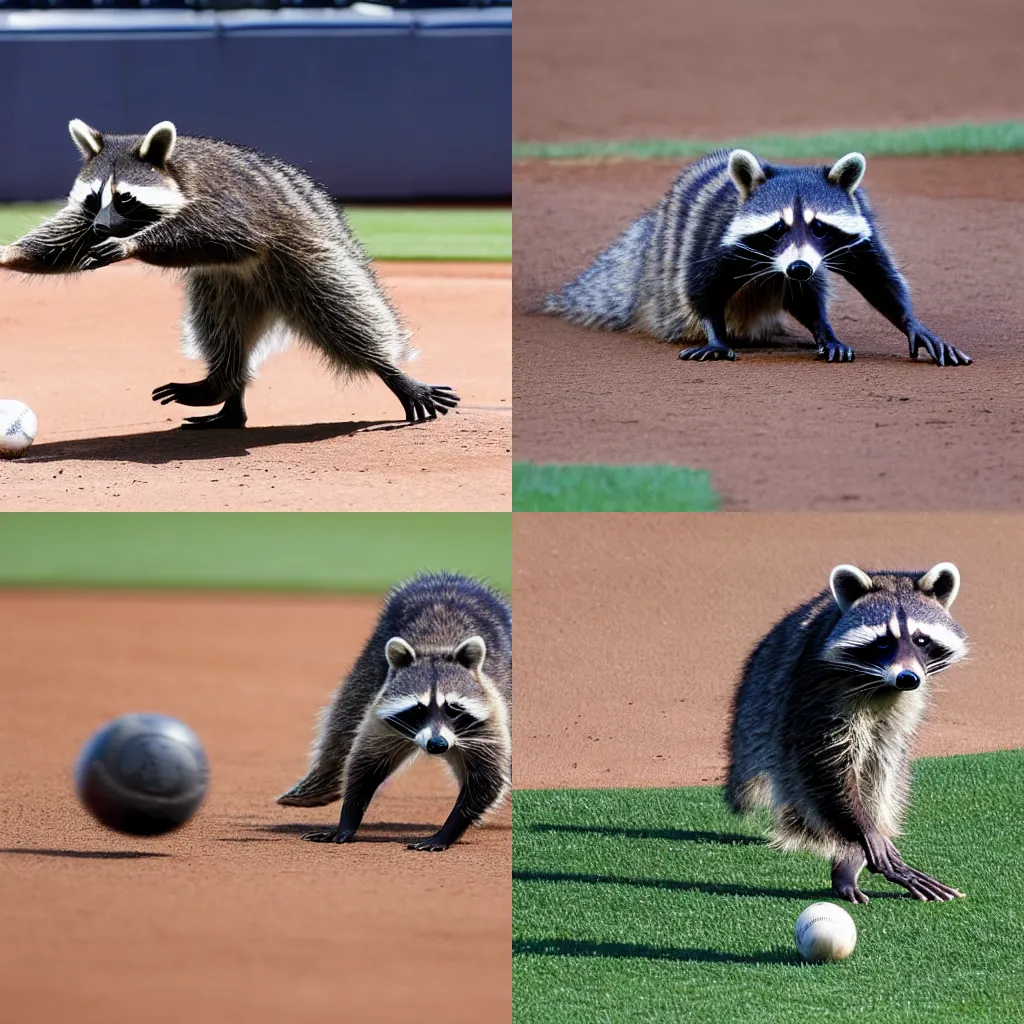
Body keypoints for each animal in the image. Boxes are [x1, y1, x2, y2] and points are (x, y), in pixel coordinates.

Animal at [0, 119, 456, 428]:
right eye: (93, 200)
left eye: (125, 199)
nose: (100, 228)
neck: (175, 168)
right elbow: (64, 241)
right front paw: (11, 252)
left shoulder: (229, 200)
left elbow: (216, 231)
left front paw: (134, 244)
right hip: (229, 287)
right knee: (222, 330)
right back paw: (226, 389)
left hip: (305, 262)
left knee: (344, 315)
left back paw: (389, 370)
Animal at [276, 573, 512, 851]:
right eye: (418, 709)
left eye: (453, 708)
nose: (437, 744)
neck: (436, 647)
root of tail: (448, 578)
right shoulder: (380, 712)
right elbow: (365, 764)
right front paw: (348, 818)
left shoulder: (490, 713)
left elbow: (487, 779)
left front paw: (450, 829)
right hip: (369, 665)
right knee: (343, 720)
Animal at [544, 148, 966, 364]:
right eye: (777, 228)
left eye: (819, 227)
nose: (799, 265)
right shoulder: (716, 233)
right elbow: (700, 286)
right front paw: (716, 335)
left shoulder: (858, 221)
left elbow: (876, 277)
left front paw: (911, 322)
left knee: (805, 291)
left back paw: (822, 330)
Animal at [729, 561, 966, 905]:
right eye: (882, 641)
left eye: (921, 640)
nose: (908, 678)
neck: (880, 683)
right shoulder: (819, 684)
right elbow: (825, 758)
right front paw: (863, 833)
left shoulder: (905, 699)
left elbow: (881, 759)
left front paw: (864, 840)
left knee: (884, 762)